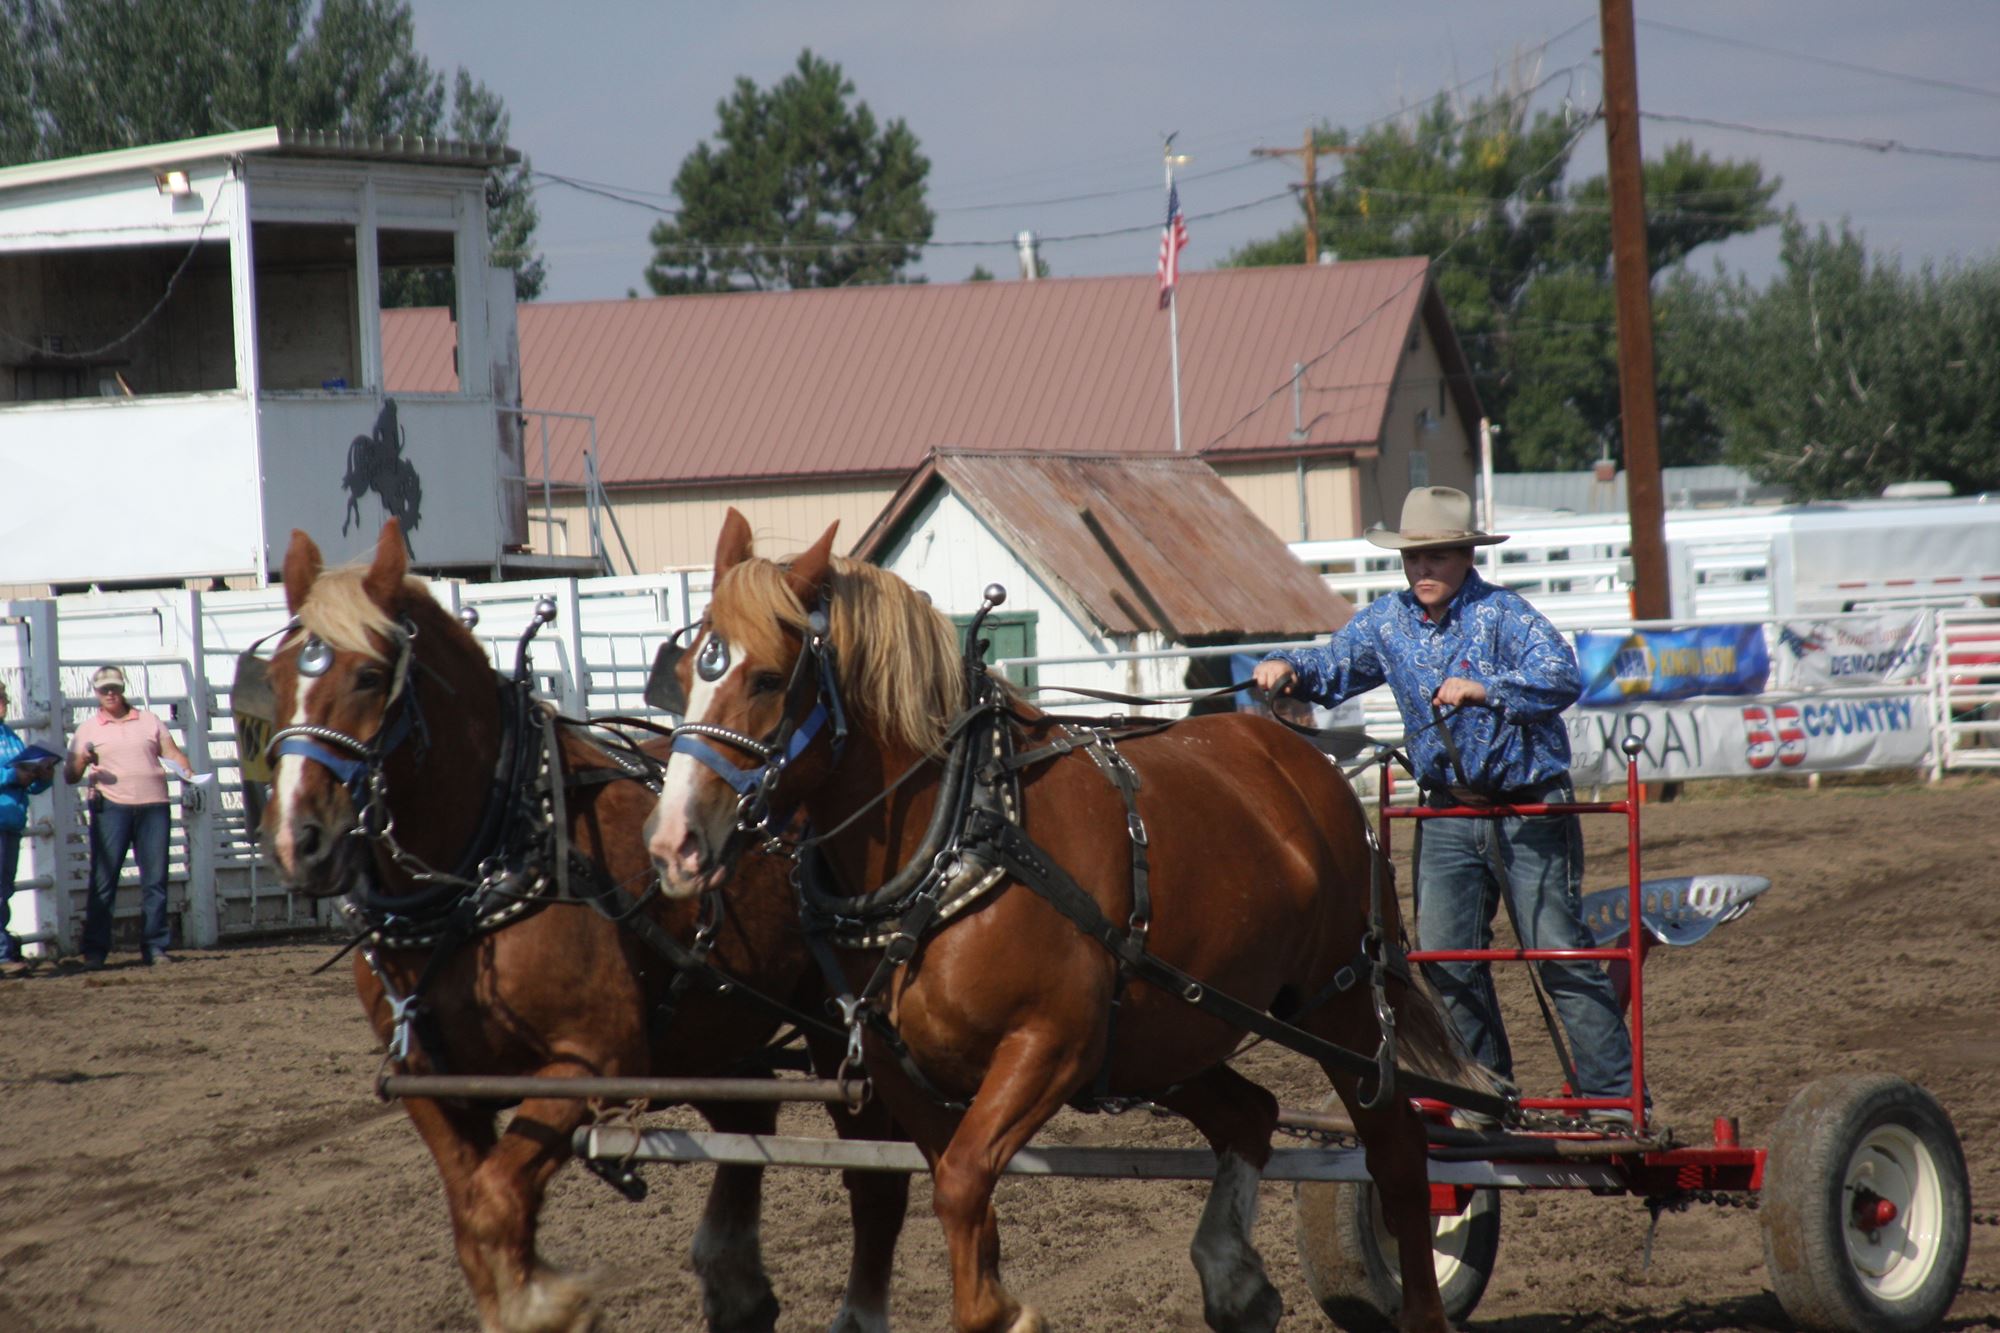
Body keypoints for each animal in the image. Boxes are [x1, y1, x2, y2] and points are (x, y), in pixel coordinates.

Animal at [260, 520, 908, 1328]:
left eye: (371, 677)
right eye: (272, 678)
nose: (300, 839)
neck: (490, 865)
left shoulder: (594, 1060)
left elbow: (495, 1203)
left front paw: (548, 1302)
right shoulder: (430, 1083)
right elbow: (472, 1216)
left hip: (830, 1028)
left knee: (877, 1179)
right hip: (711, 1027)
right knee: (746, 1113)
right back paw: (735, 1283)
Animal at [648, 510, 1496, 1328]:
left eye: (766, 677)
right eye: (685, 673)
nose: (674, 841)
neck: (960, 827)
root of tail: (1309, 765)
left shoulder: (1049, 1043)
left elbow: (962, 1183)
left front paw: (1003, 1311)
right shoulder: (900, 1067)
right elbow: (961, 1194)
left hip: (1340, 1001)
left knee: (1397, 1151)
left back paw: (1418, 1302)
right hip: (1165, 1034)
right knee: (1251, 1114)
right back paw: (1235, 1280)